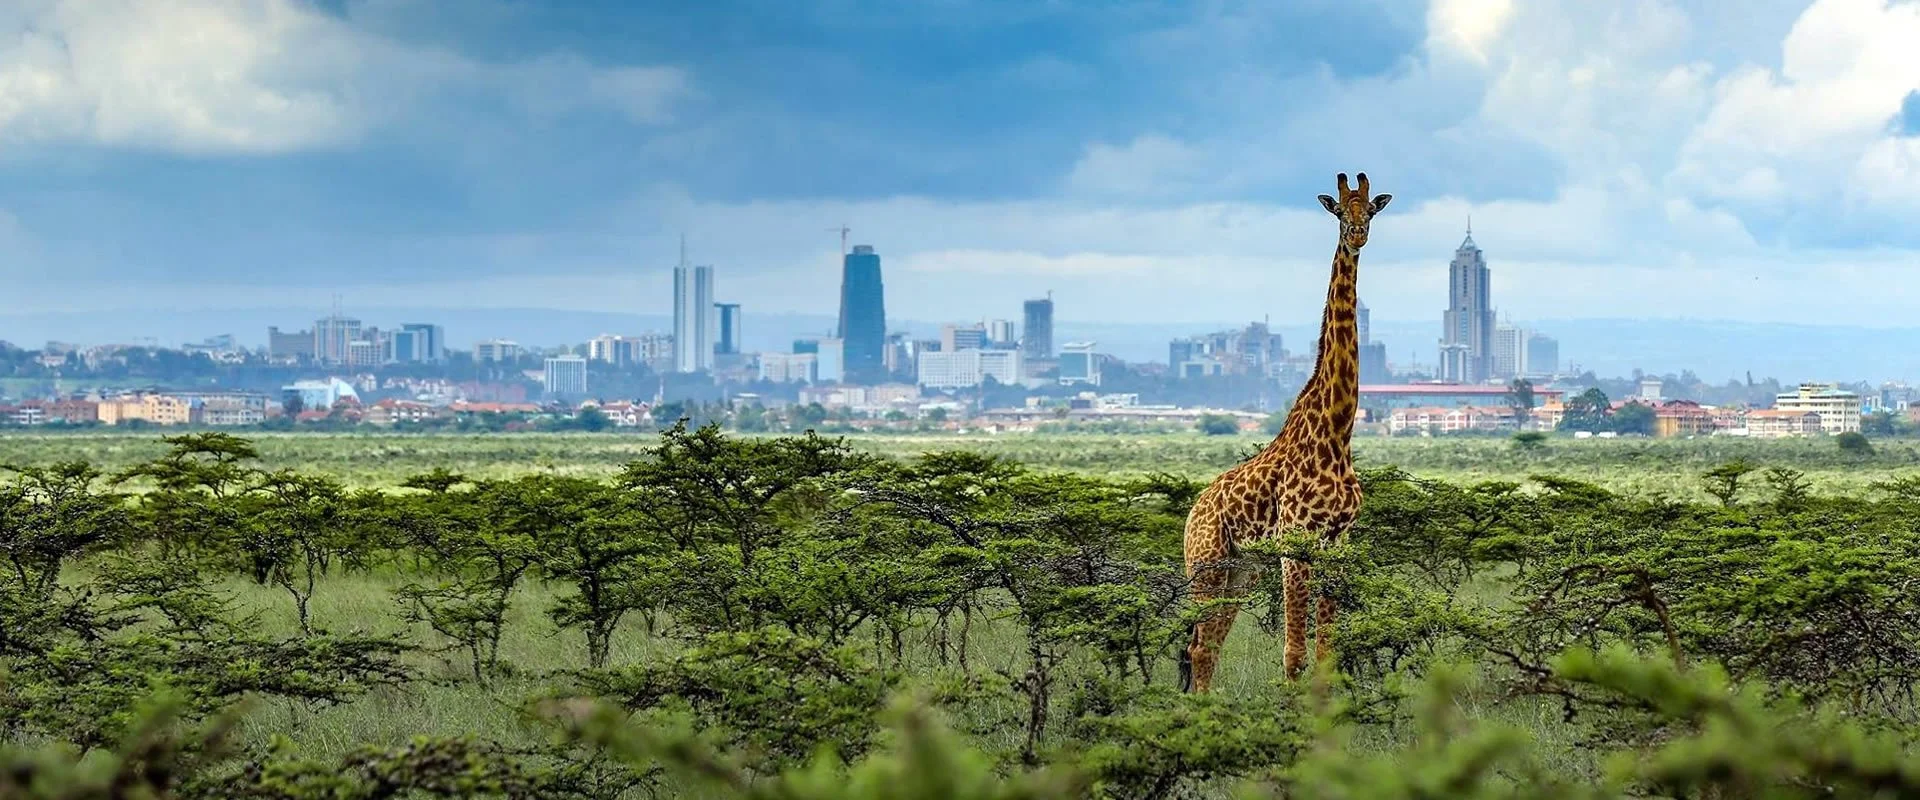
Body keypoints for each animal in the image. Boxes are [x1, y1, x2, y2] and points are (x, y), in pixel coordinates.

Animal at [1178, 172, 1391, 693]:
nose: (1357, 235)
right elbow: (1293, 656)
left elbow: (1325, 655)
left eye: (1371, 210)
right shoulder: (1296, 543)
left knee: (1208, 646)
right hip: (1206, 564)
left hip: (1242, 569)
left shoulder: (1337, 544)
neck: (1336, 431)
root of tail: (1192, 512)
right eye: (1340, 210)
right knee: (1197, 645)